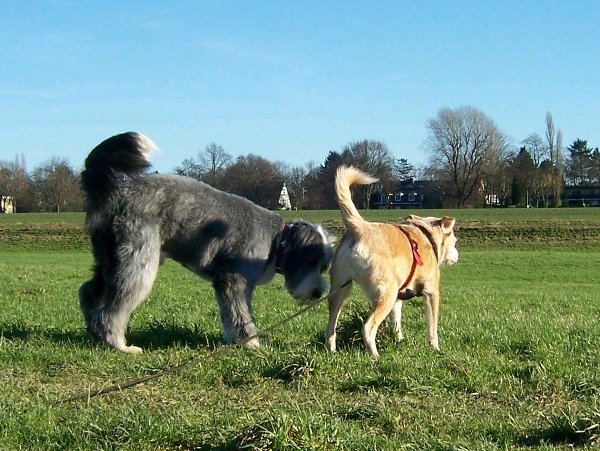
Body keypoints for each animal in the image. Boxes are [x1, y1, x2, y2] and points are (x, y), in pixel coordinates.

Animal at [78, 132, 334, 353]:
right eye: (310, 260)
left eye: (323, 266)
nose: (318, 292)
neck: (276, 242)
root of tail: (117, 195)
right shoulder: (234, 281)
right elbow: (241, 315)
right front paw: (252, 344)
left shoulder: (226, 284)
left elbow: (230, 316)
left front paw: (235, 342)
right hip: (137, 259)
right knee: (114, 308)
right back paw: (120, 344)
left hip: (111, 256)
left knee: (89, 291)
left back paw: (95, 333)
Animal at [326, 166, 459, 356]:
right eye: (455, 241)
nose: (457, 255)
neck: (426, 235)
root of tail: (361, 228)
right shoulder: (431, 292)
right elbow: (432, 327)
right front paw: (435, 347)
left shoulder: (398, 299)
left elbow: (396, 323)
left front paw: (399, 341)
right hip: (386, 293)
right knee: (368, 327)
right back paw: (374, 356)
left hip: (340, 290)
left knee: (331, 326)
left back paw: (332, 351)